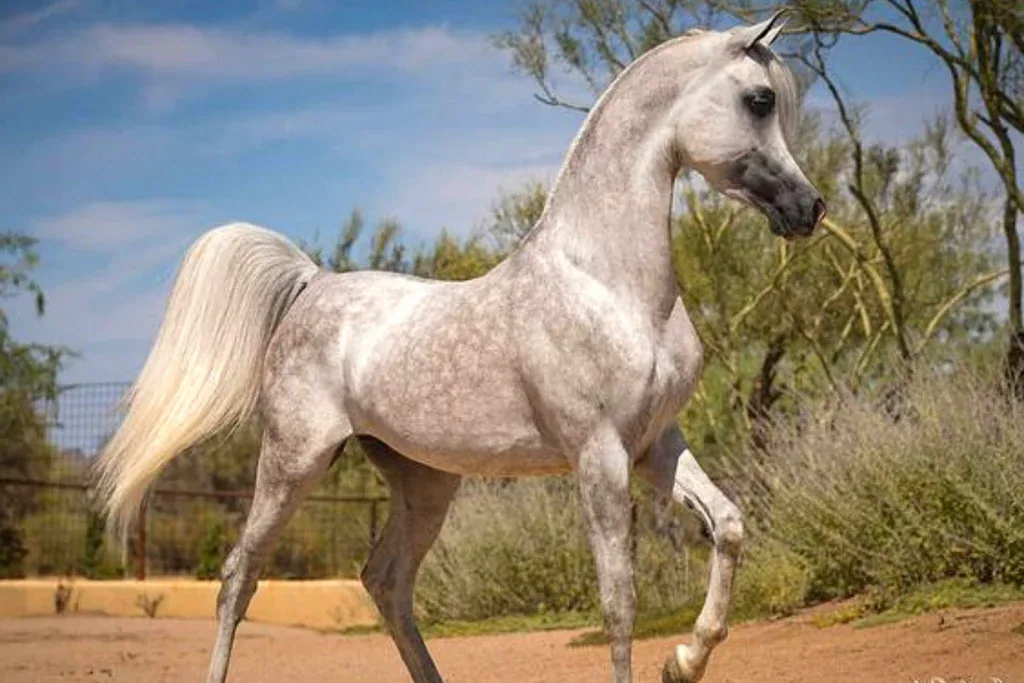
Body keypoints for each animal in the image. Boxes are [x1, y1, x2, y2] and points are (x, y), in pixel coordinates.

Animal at [96, 10, 824, 683]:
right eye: (760, 99)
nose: (808, 209)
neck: (607, 282)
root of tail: (315, 283)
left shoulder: (654, 444)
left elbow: (728, 524)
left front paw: (685, 659)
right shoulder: (599, 455)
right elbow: (619, 602)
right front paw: (672, 656)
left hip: (424, 482)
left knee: (385, 580)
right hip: (293, 461)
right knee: (239, 576)